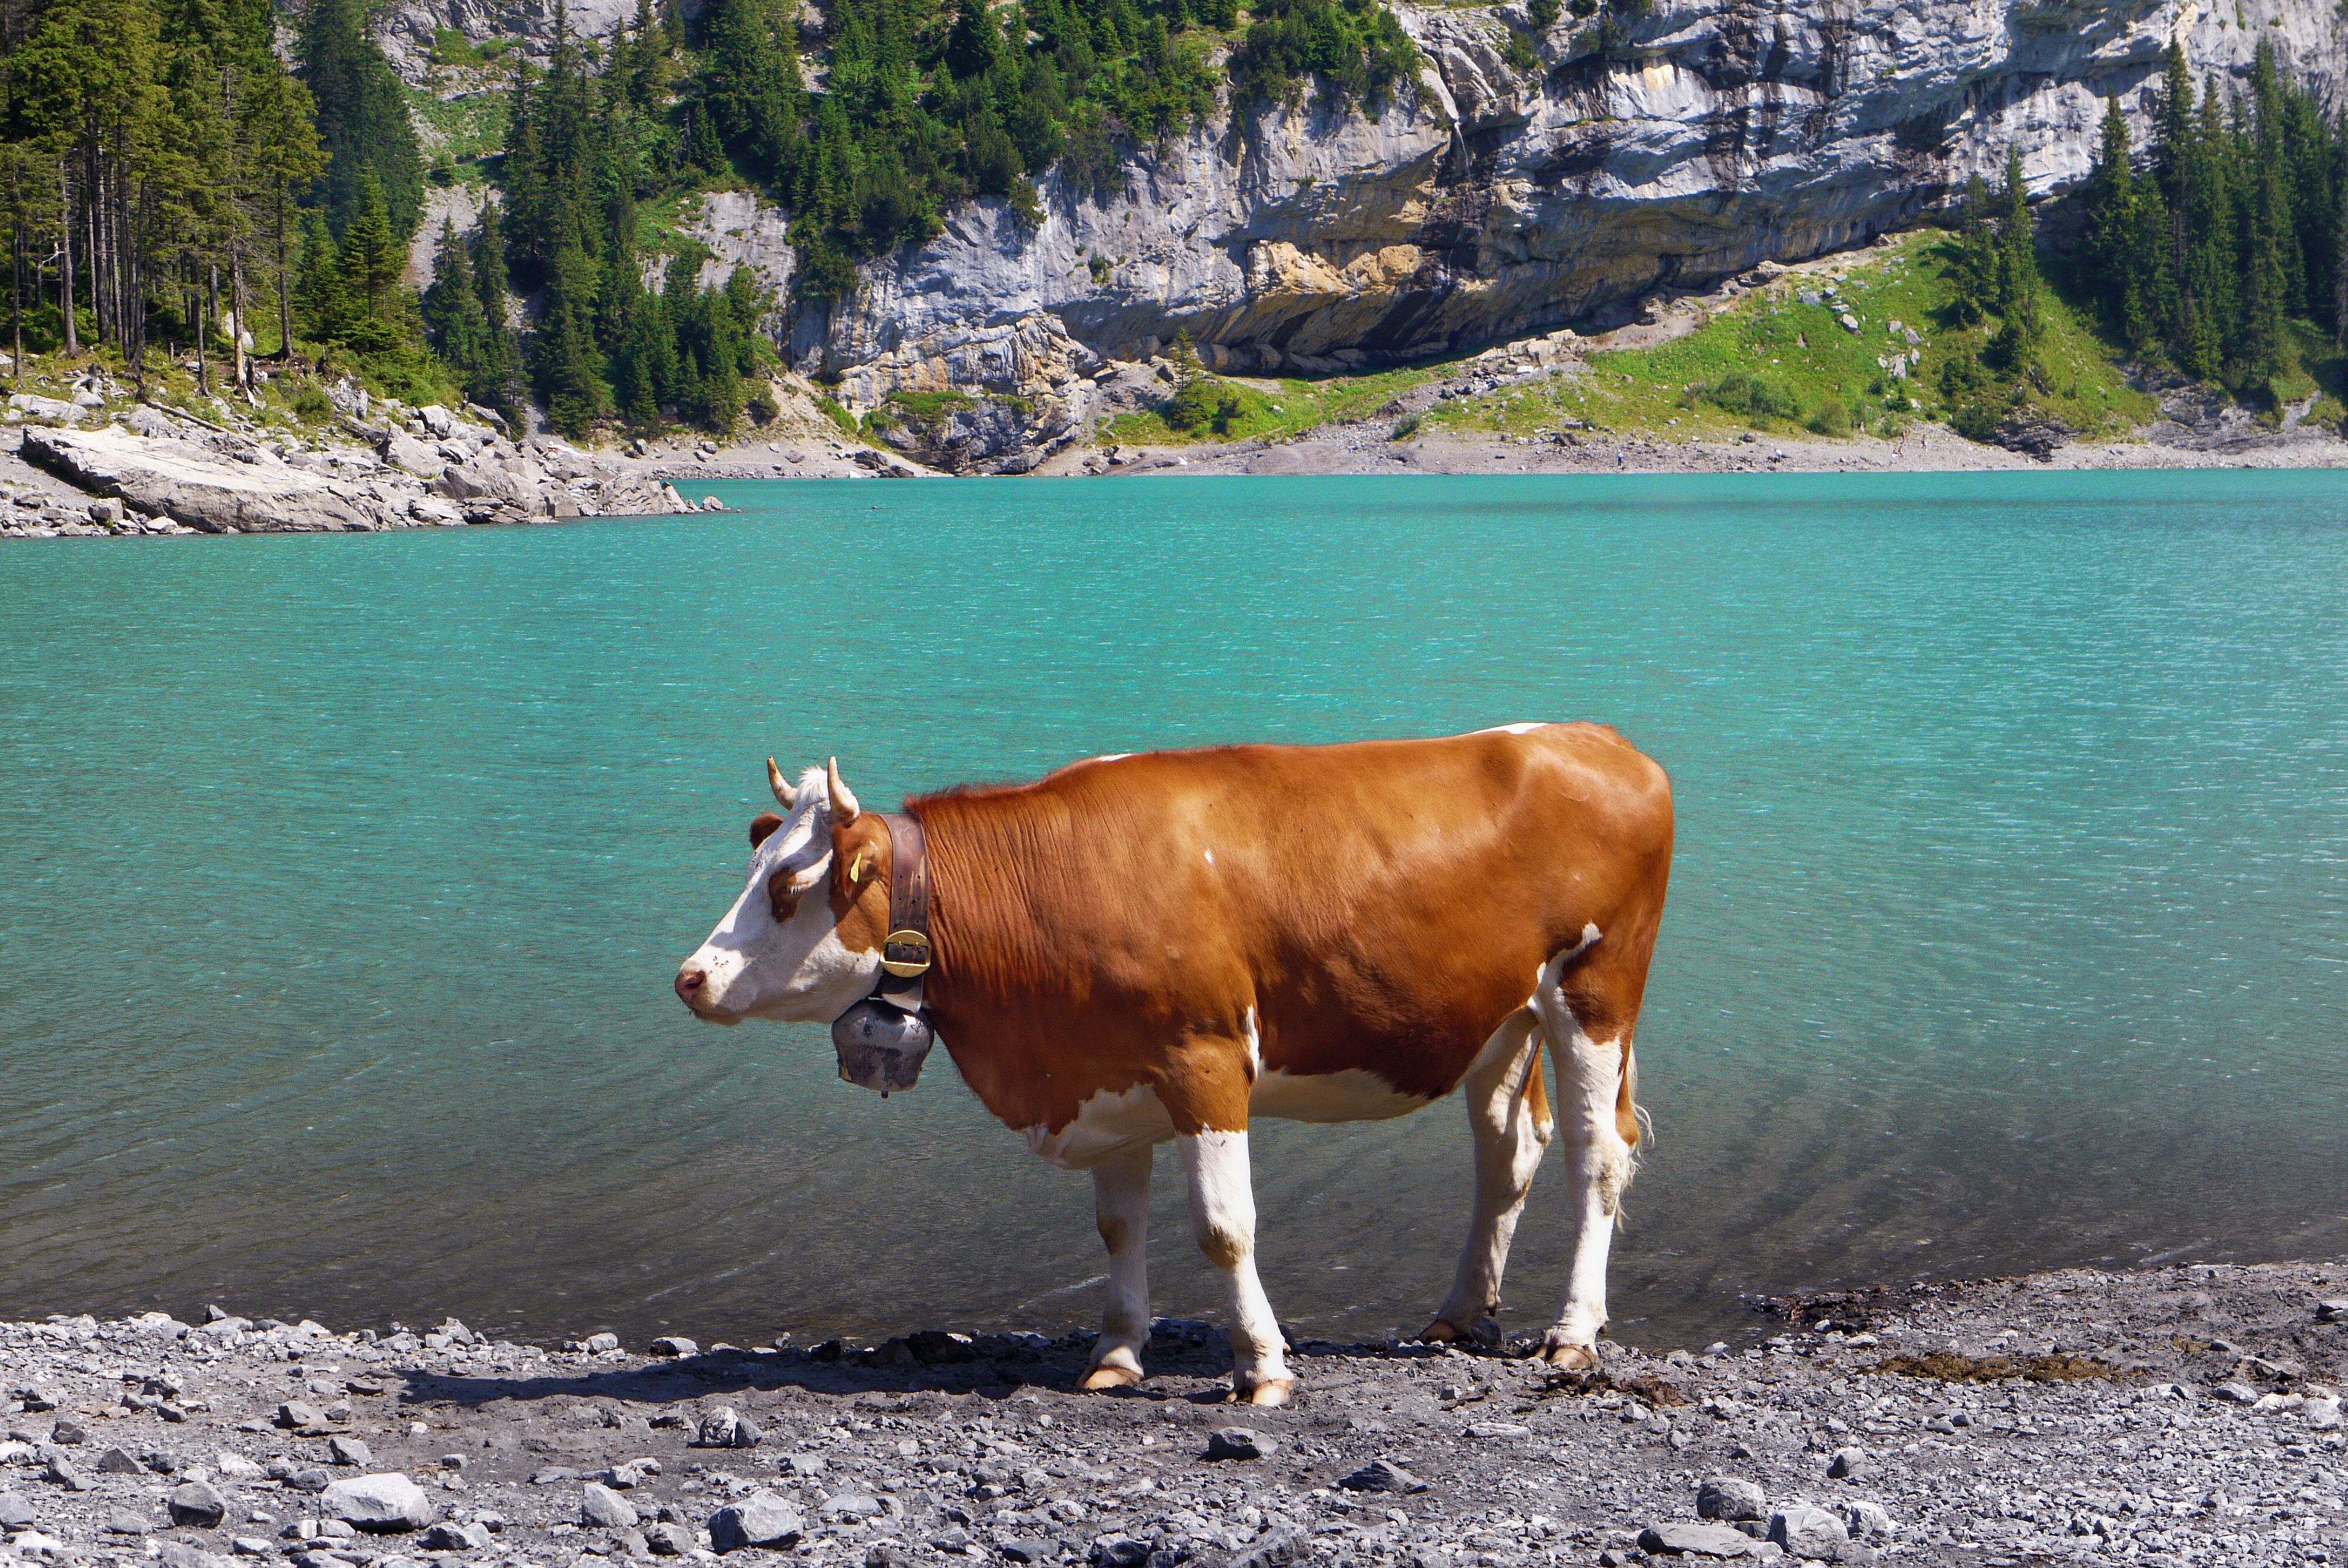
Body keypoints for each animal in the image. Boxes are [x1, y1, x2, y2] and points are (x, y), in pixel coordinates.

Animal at [674, 726, 1673, 1405]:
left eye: (789, 889)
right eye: (758, 867)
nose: (692, 977)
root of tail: (1595, 740)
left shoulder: (1207, 1063)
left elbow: (1224, 1227)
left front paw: (1262, 1367)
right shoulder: (1104, 1073)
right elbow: (1120, 1229)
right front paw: (1116, 1355)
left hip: (1595, 996)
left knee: (1595, 1155)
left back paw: (1573, 1334)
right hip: (1502, 1020)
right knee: (1508, 1151)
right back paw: (1461, 1312)